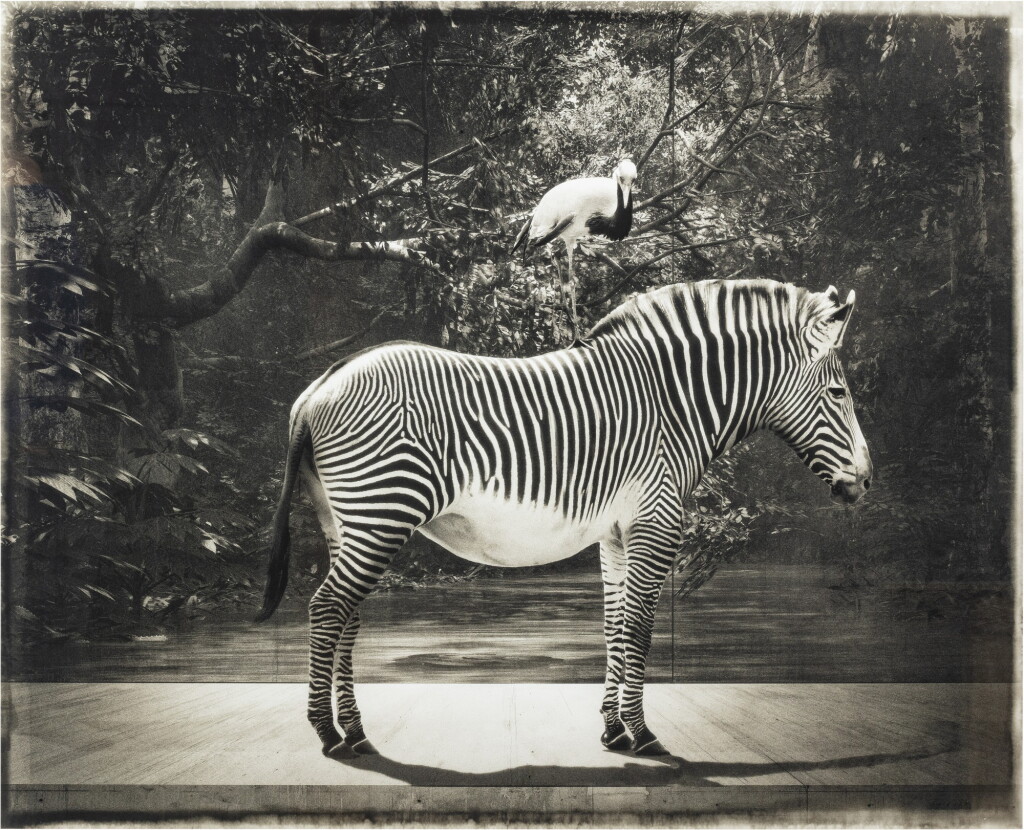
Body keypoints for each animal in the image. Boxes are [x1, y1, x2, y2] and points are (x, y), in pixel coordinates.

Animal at [256, 278, 872, 759]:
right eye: (839, 392)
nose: (866, 481)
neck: (670, 402)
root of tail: (321, 384)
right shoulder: (655, 523)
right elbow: (639, 627)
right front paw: (643, 734)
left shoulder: (617, 534)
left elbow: (613, 626)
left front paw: (613, 730)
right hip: (381, 513)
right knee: (327, 609)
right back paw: (327, 734)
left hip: (346, 523)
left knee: (346, 617)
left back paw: (355, 732)